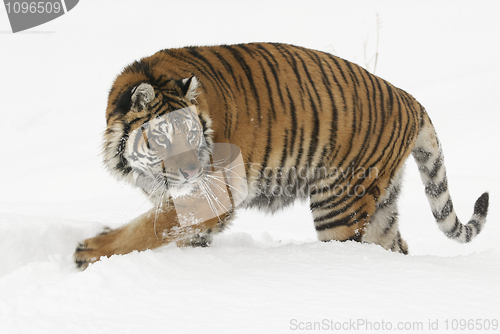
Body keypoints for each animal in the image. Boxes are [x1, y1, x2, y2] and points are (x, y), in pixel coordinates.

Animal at [73, 43, 488, 270]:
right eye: (162, 137)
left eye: (191, 134)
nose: (191, 171)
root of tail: (409, 99)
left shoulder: (210, 193)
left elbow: (149, 228)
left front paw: (90, 251)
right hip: (381, 207)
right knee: (395, 246)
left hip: (340, 202)